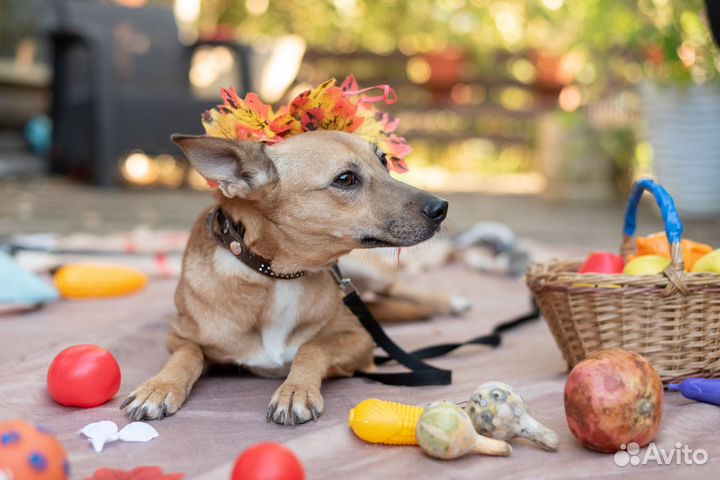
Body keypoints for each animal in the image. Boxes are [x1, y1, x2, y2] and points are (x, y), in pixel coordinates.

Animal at [122, 130, 450, 424]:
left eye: (383, 161)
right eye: (345, 179)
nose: (441, 207)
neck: (279, 275)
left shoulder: (360, 340)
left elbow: (312, 347)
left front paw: (295, 390)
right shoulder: (179, 336)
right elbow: (187, 355)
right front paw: (159, 387)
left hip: (368, 273)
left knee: (396, 288)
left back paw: (448, 302)